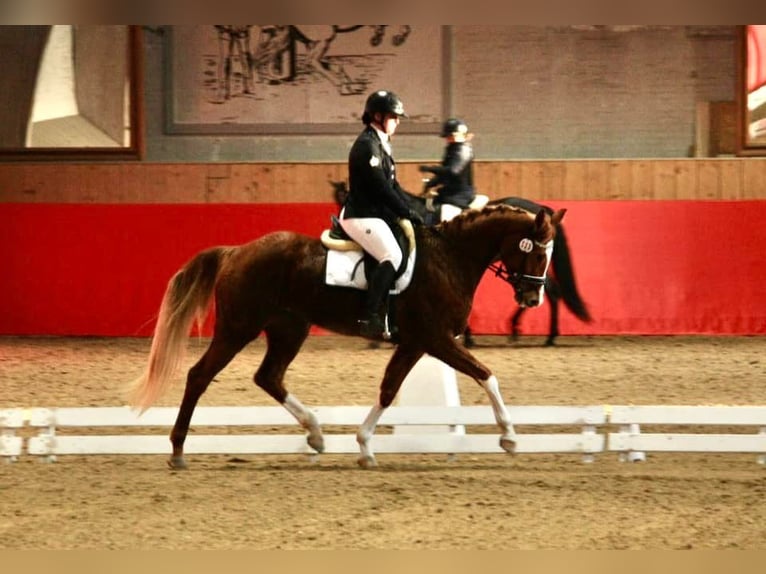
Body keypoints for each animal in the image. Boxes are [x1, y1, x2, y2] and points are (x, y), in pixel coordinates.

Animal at [130, 205, 564, 470]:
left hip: (289, 328)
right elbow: (486, 374)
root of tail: (236, 251)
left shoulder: (415, 343)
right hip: (239, 328)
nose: (533, 298)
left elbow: (388, 389)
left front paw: (365, 446)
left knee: (268, 377)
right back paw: (178, 451)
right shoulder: (436, 339)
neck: (450, 258)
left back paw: (317, 434)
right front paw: (509, 437)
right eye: (538, 252)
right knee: (200, 376)